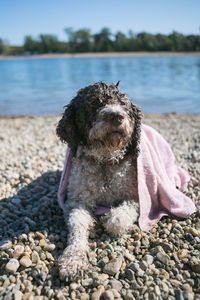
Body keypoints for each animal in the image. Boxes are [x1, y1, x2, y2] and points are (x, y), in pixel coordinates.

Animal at [55, 81, 142, 280]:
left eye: (123, 104)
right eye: (94, 103)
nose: (117, 115)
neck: (104, 162)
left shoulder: (135, 197)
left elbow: (119, 219)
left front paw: (111, 218)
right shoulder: (77, 201)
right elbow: (77, 225)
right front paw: (73, 259)